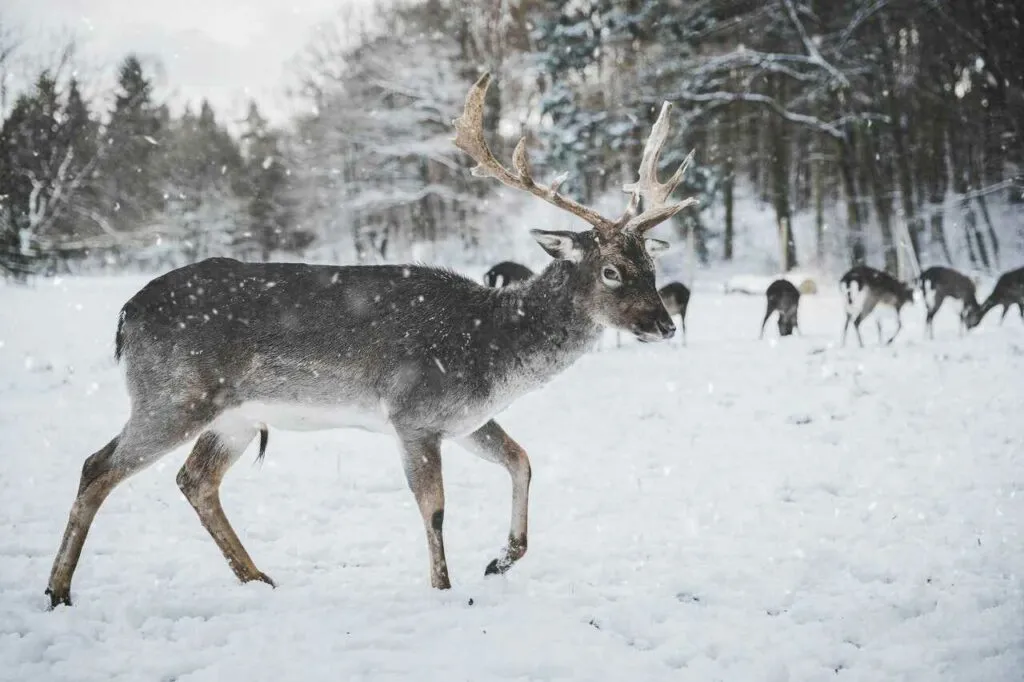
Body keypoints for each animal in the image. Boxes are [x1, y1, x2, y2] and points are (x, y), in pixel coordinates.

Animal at [39, 71, 696, 606]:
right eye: (610, 270)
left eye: (651, 264)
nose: (664, 324)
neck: (492, 351)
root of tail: (125, 314)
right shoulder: (414, 412)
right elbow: (434, 508)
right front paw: (444, 589)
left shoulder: (465, 418)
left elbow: (522, 460)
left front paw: (501, 560)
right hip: (174, 394)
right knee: (97, 466)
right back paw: (59, 590)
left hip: (234, 417)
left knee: (194, 480)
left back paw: (258, 578)